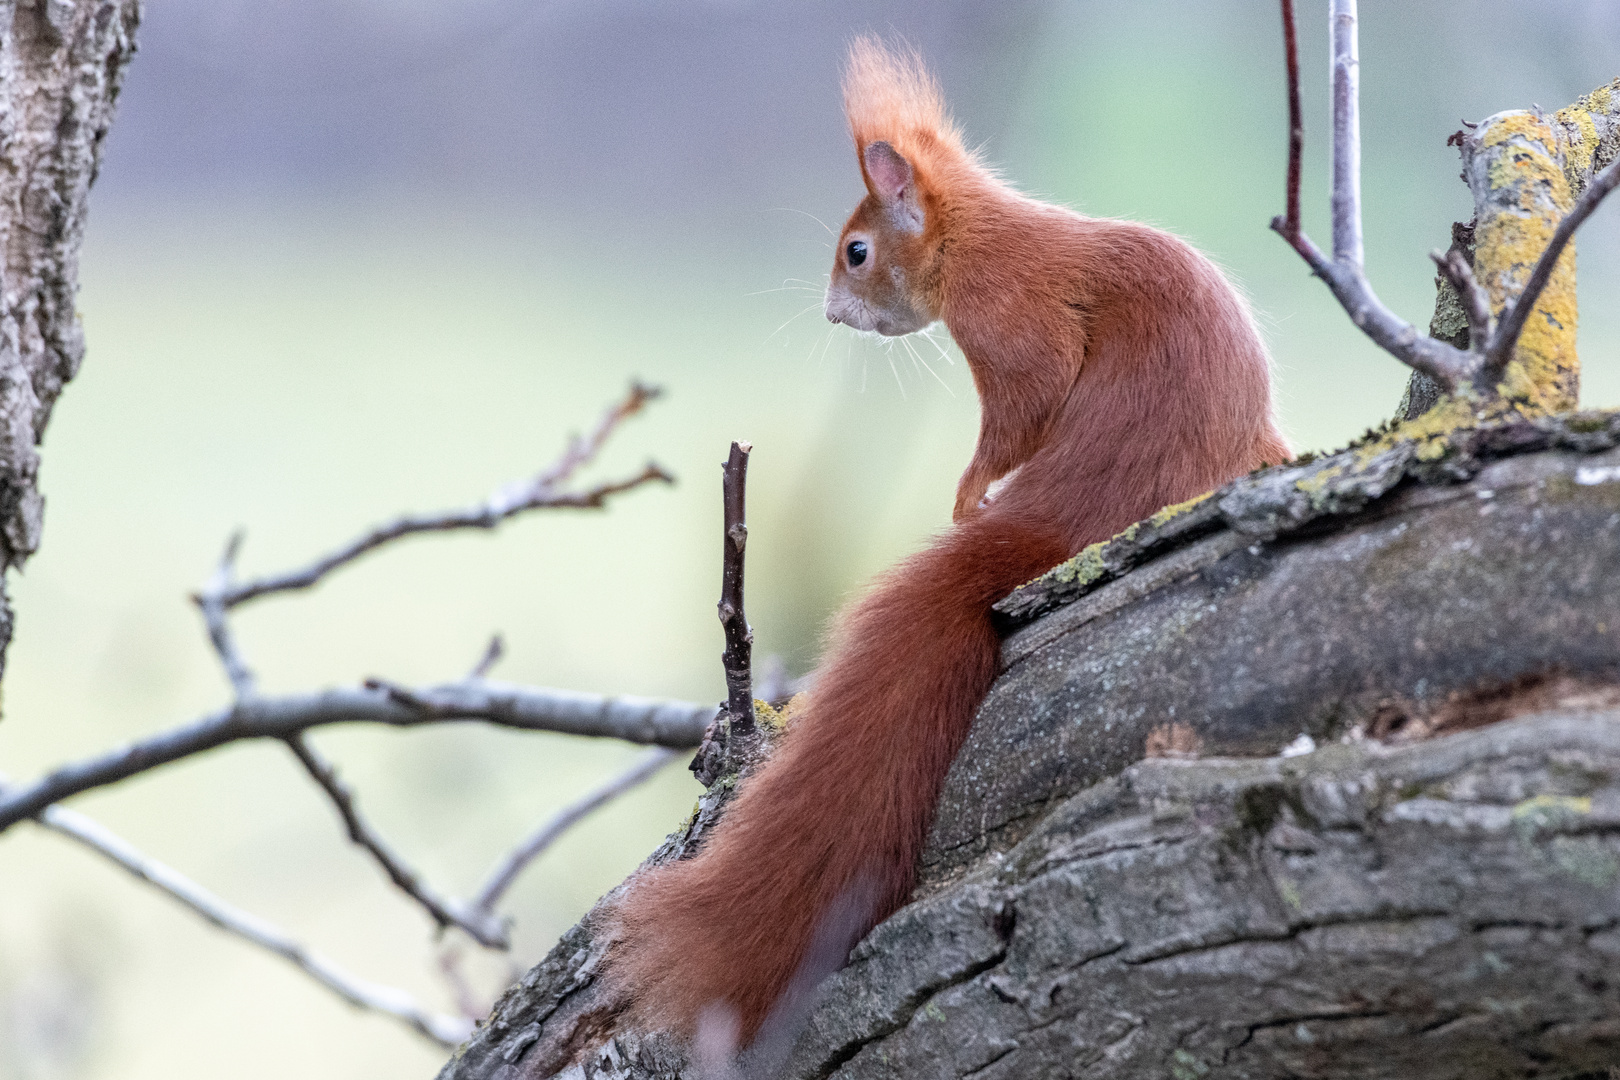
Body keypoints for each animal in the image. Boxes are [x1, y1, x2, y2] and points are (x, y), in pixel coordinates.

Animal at [609, 35, 1289, 1055]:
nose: (833, 313)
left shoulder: (1010, 321)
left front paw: (967, 493)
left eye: (857, 251)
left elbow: (1026, 403)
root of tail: (1063, 520)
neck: (975, 236)